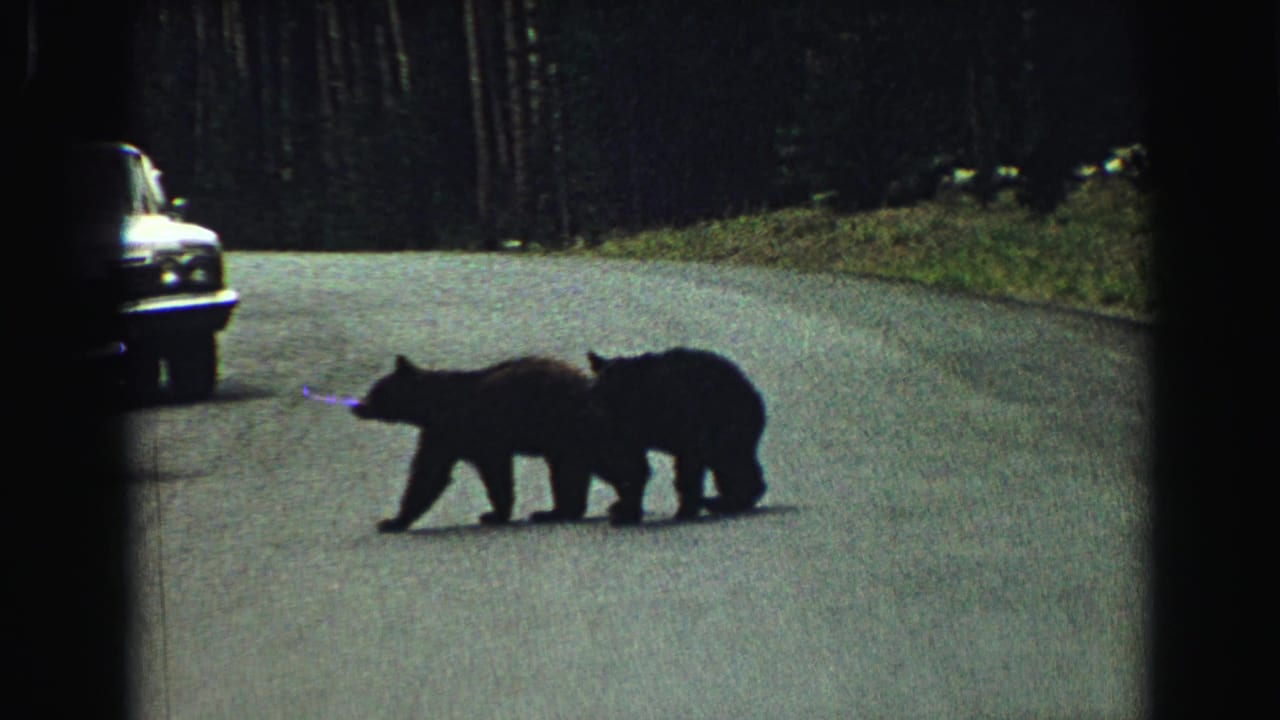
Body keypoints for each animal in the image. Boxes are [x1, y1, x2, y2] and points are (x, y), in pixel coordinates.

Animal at [352, 355, 646, 532]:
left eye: (376, 390)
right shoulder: (447, 435)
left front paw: (393, 521)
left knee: (601, 463)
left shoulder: (461, 431)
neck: (432, 406)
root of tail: (591, 386)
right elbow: (435, 471)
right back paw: (559, 510)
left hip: (571, 427)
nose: (358, 406)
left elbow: (435, 474)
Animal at [587, 347, 767, 520]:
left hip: (726, 422)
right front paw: (624, 509)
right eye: (595, 388)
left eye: (610, 392)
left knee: (729, 460)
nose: (598, 412)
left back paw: (722, 501)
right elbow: (629, 463)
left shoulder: (686, 416)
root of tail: (755, 396)